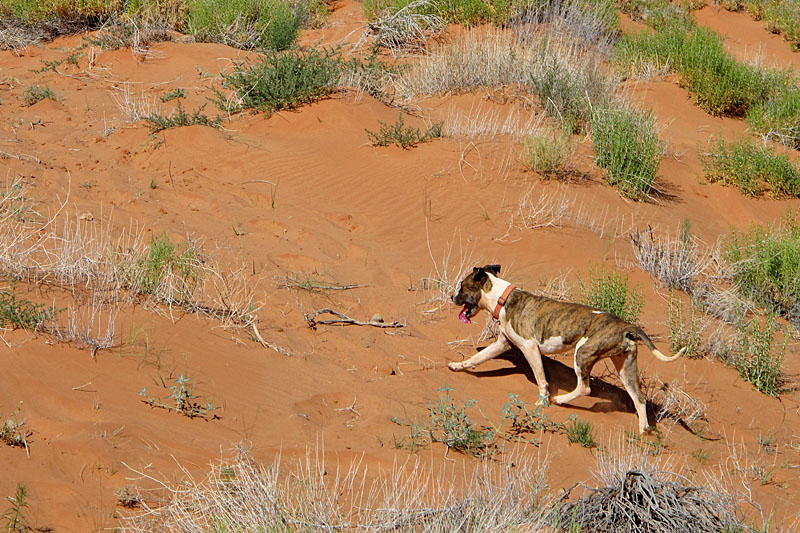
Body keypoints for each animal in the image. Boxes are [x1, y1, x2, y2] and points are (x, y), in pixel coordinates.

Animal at [446, 264, 684, 434]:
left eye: (461, 286)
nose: (451, 297)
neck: (502, 300)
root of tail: (625, 325)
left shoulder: (530, 348)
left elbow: (542, 380)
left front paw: (542, 402)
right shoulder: (502, 344)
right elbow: (477, 357)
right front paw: (458, 366)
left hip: (583, 353)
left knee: (585, 388)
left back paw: (559, 400)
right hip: (626, 369)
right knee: (639, 399)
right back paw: (644, 430)